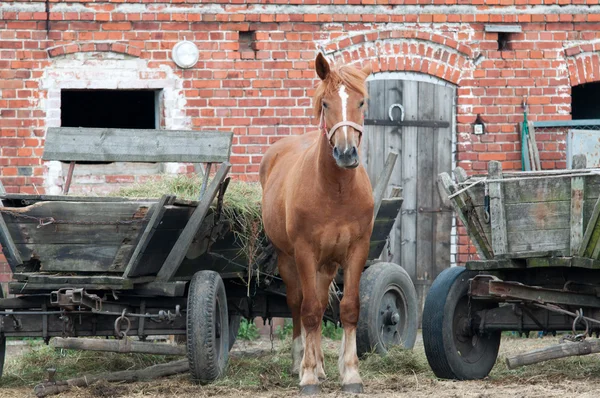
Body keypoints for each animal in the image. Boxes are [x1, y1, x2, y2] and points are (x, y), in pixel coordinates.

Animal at [258, 53, 372, 394]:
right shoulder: (304, 252)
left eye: (361, 102)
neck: (335, 190)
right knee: (299, 304)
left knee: (321, 304)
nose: (346, 153)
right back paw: (301, 362)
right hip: (289, 258)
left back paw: (321, 365)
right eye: (325, 103)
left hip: (328, 264)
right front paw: (307, 375)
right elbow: (307, 311)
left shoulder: (356, 251)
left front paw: (350, 373)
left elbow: (348, 308)